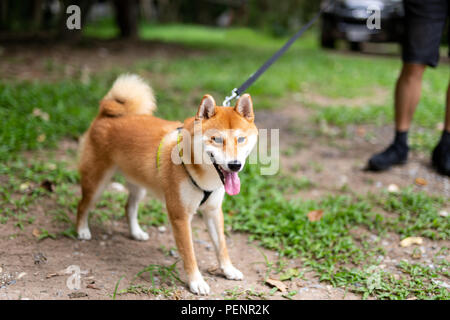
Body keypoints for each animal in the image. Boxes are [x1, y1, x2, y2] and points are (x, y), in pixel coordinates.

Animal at [76, 74, 258, 296]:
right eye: (216, 139)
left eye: (241, 139)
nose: (234, 165)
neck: (202, 172)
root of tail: (106, 114)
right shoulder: (180, 216)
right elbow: (189, 254)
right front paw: (196, 282)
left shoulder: (213, 211)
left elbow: (221, 246)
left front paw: (228, 269)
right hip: (97, 182)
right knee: (83, 205)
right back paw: (82, 230)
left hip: (138, 184)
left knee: (129, 207)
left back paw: (136, 232)